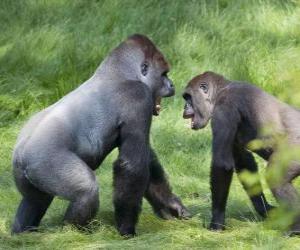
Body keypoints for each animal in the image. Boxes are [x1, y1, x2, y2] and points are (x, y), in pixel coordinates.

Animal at [12, 33, 190, 236]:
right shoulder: (138, 97)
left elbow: (147, 160)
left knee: (35, 201)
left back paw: (23, 231)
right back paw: (72, 232)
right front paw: (126, 228)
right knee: (86, 191)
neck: (119, 72)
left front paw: (170, 205)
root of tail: (19, 153)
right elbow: (133, 165)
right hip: (43, 161)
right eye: (163, 74)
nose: (172, 84)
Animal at [182, 72, 300, 234]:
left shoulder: (224, 108)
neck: (222, 89)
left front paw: (217, 222)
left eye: (189, 98)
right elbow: (243, 161)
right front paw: (264, 209)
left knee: (276, 178)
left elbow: (222, 164)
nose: (184, 107)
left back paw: (295, 227)